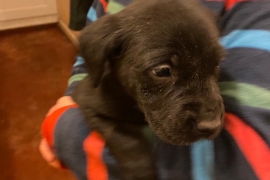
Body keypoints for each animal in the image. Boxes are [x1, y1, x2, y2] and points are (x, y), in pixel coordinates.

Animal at [71, 0, 224, 179]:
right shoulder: (88, 102)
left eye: (216, 65)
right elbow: (124, 137)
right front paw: (140, 172)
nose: (211, 125)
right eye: (162, 71)